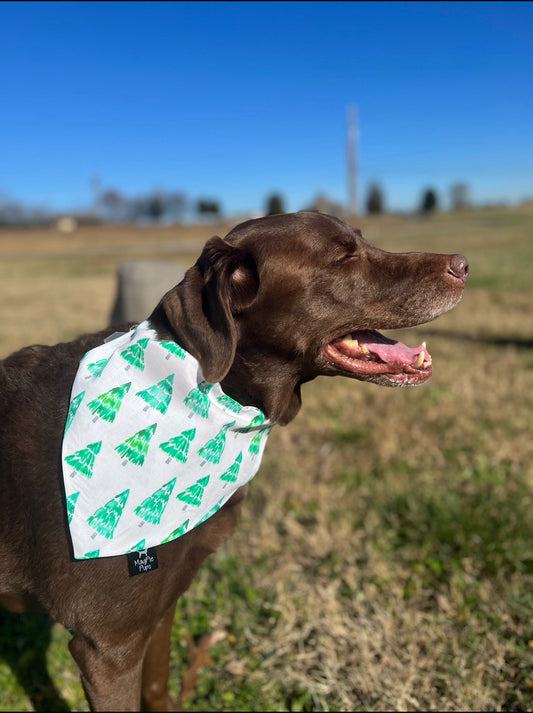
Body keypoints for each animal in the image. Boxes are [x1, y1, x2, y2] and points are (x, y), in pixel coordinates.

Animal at [0, 213, 466, 712]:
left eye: (361, 239)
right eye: (343, 256)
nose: (463, 264)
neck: (213, 390)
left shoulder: (161, 607)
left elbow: (158, 686)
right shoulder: (108, 649)